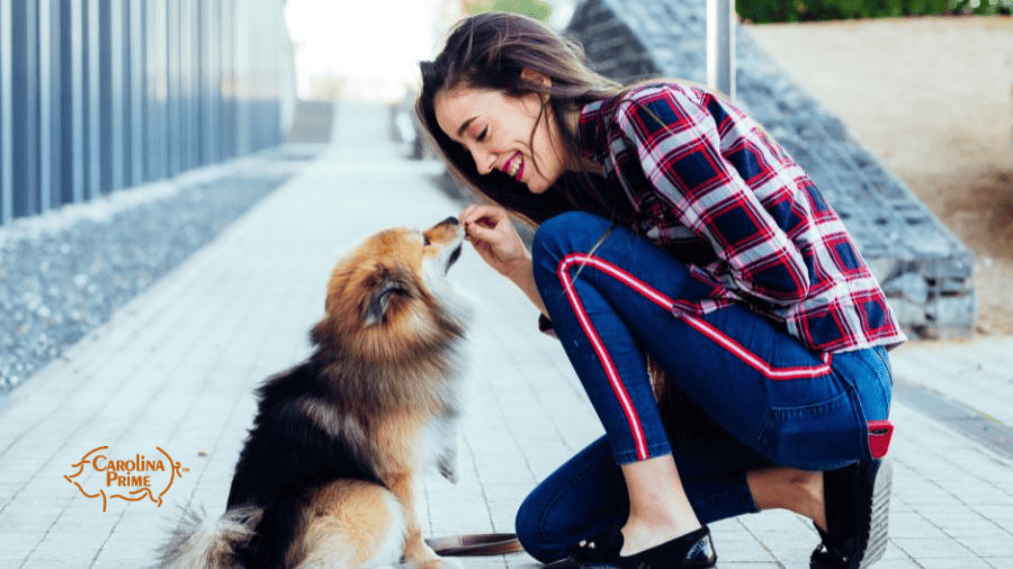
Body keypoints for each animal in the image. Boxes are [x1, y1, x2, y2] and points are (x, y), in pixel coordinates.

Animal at [156, 214, 472, 562]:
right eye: (425, 241)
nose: (454, 218)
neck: (385, 346)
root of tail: (249, 550)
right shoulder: (400, 472)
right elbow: (413, 523)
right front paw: (427, 559)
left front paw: (452, 464)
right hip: (370, 497)